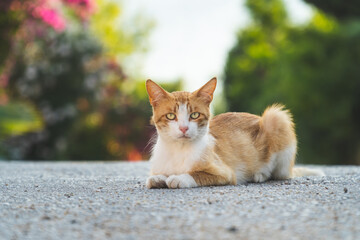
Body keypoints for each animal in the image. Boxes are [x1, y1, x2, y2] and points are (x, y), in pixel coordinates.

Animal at [145, 78, 324, 188]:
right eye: (171, 116)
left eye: (194, 115)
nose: (183, 128)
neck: (178, 150)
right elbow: (153, 178)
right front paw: (159, 178)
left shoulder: (226, 173)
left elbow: (197, 174)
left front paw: (179, 178)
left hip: (276, 118)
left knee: (279, 174)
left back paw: (260, 174)